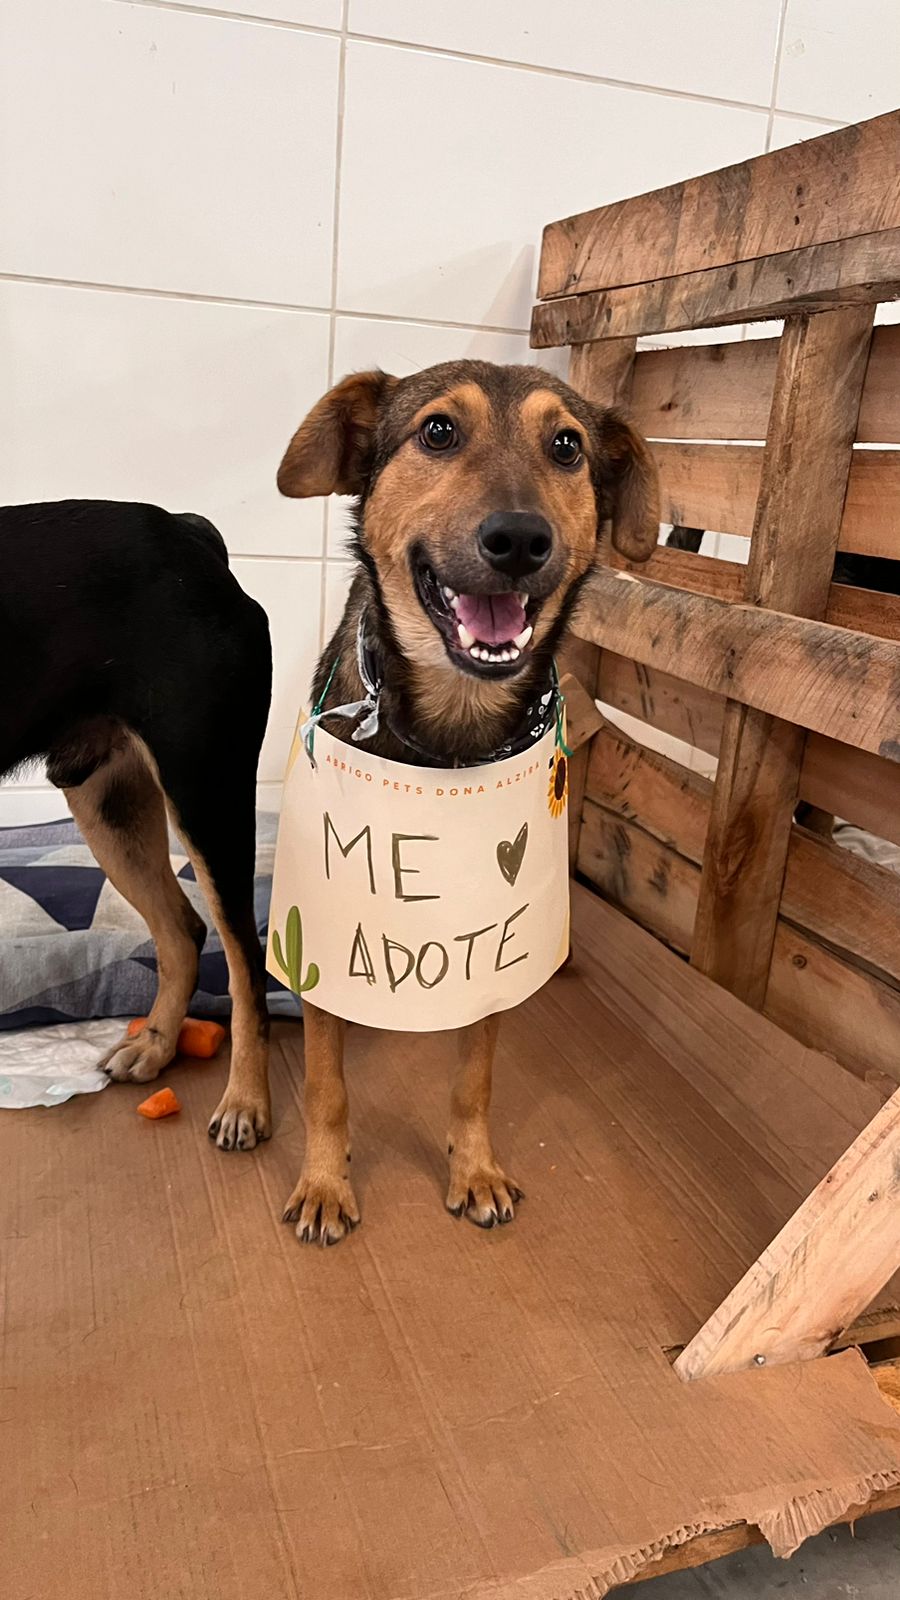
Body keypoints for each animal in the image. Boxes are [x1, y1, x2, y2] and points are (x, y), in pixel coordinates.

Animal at [0, 505, 273, 1145]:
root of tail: (190, 533)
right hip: (109, 805)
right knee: (182, 931)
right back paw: (154, 1043)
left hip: (206, 791)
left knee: (244, 963)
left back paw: (245, 1101)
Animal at [275, 356, 659, 1241]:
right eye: (439, 431)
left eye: (568, 446)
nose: (519, 539)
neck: (450, 727)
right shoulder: (326, 940)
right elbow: (325, 1083)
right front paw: (325, 1183)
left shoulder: (488, 951)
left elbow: (474, 1076)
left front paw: (475, 1168)